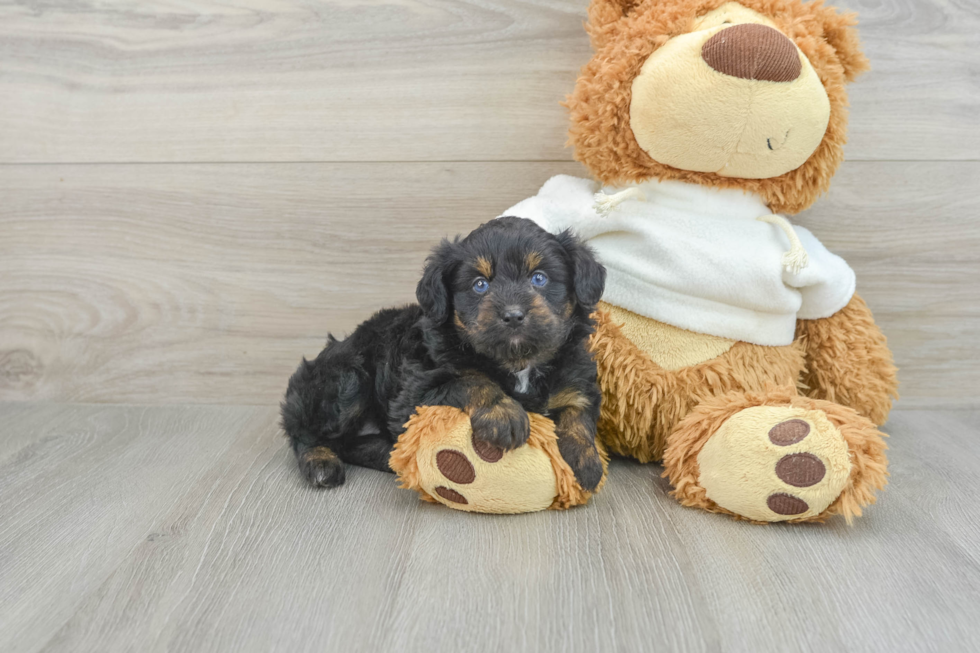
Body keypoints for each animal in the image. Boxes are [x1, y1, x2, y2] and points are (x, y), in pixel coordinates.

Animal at [280, 216, 608, 492]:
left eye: (539, 278)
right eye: (480, 285)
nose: (513, 315)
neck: (517, 362)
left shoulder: (577, 379)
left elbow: (578, 413)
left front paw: (585, 461)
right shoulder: (413, 395)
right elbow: (469, 380)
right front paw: (503, 413)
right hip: (346, 379)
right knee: (305, 432)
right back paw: (321, 464)